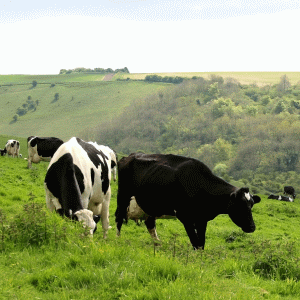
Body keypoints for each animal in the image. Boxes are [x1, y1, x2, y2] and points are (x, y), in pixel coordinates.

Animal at [116, 154, 262, 250]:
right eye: (239, 206)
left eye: (251, 205)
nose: (252, 227)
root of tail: (129, 156)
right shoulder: (185, 216)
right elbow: (194, 241)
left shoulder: (202, 219)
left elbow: (201, 243)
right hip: (123, 195)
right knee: (119, 217)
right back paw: (117, 240)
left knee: (150, 224)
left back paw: (158, 244)